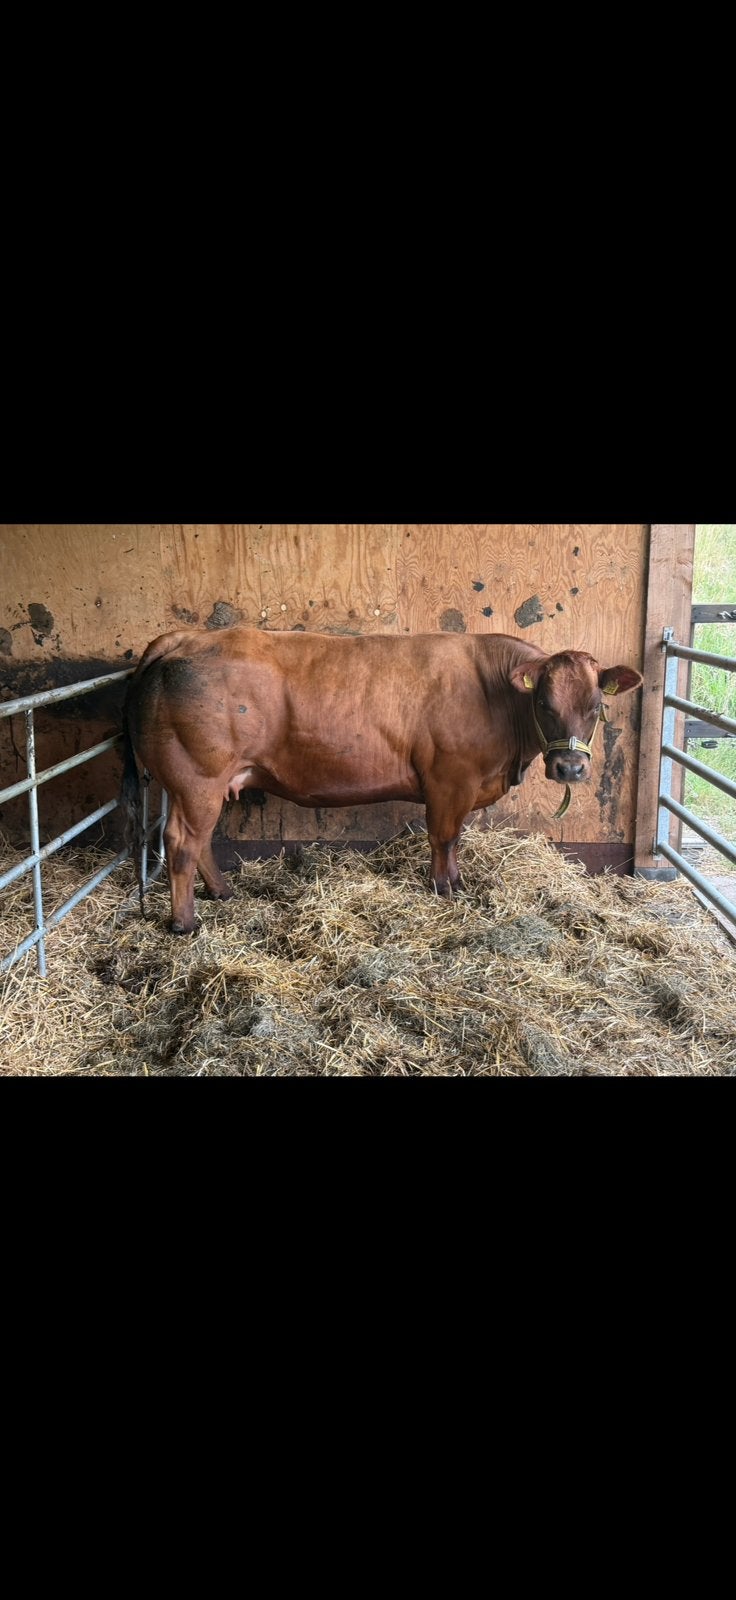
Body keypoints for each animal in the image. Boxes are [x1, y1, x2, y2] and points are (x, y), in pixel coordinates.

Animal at [120, 626, 643, 933]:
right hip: (198, 779)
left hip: (204, 784)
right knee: (183, 842)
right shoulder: (450, 780)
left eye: (595, 706)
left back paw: (223, 892)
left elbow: (455, 840)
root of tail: (183, 638)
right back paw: (185, 922)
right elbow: (444, 837)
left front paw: (455, 882)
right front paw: (445, 887)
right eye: (544, 704)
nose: (570, 768)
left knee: (200, 842)